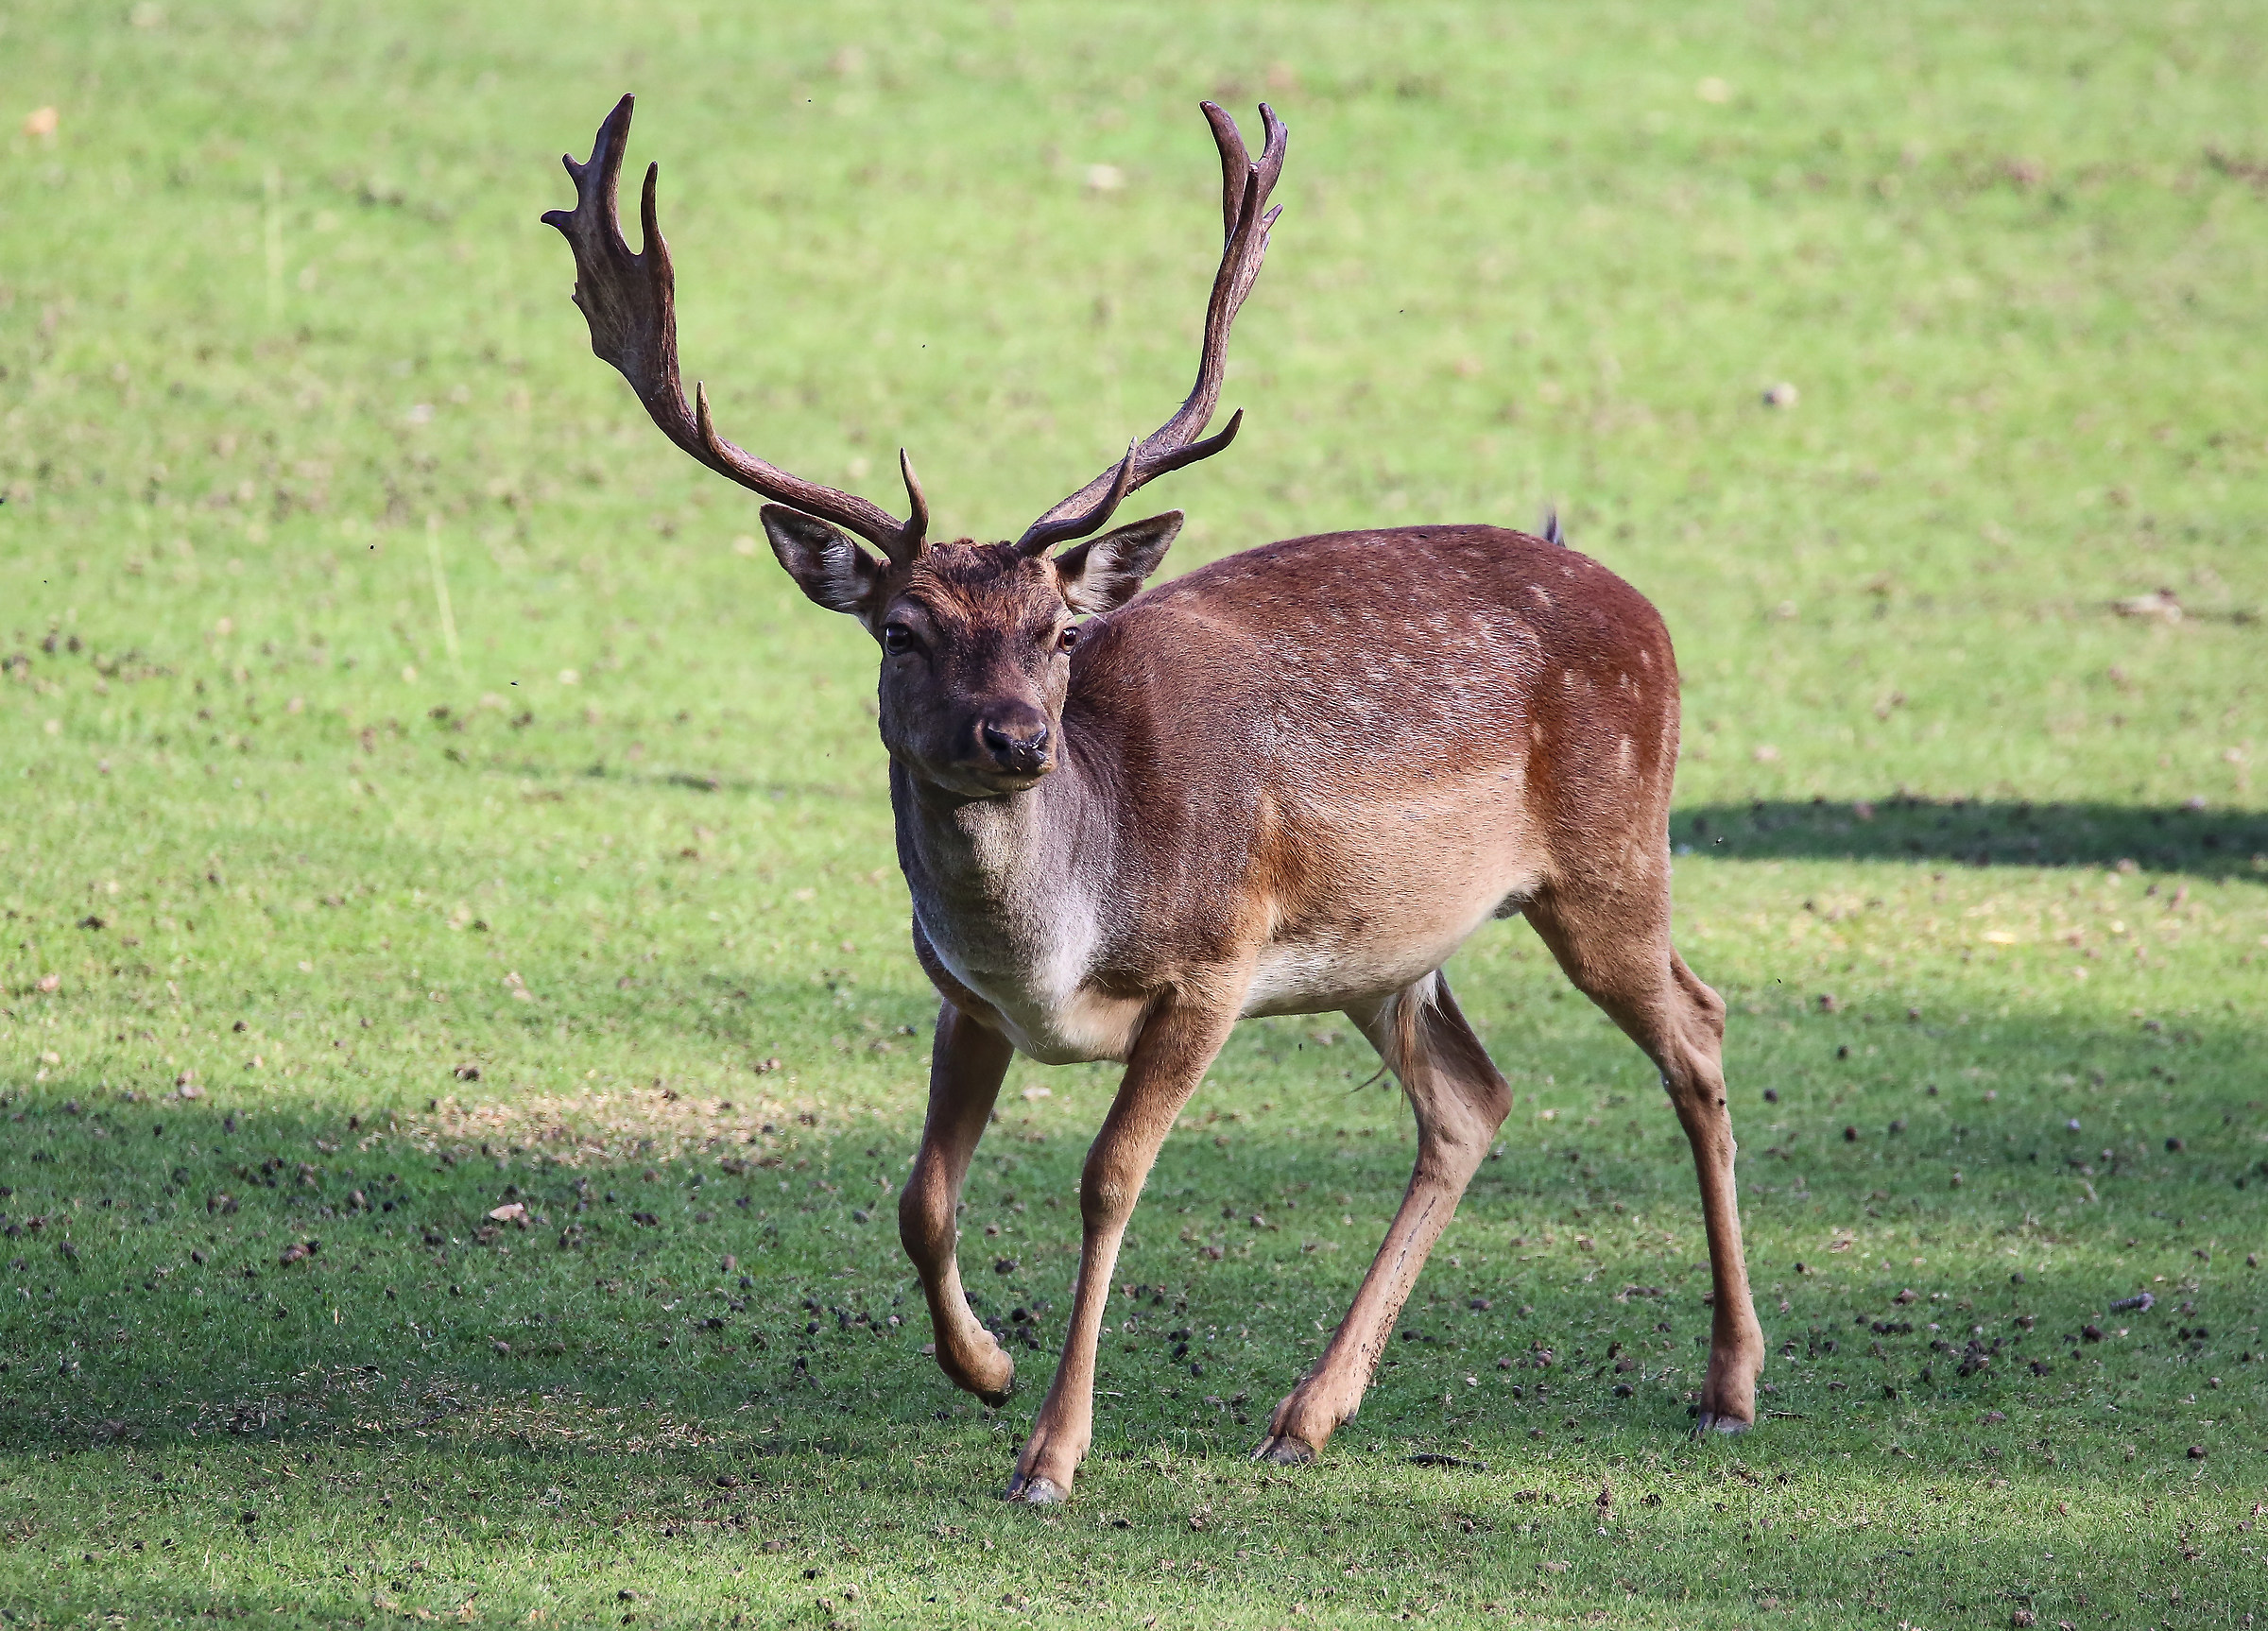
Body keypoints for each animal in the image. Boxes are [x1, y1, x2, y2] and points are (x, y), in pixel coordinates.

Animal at [545, 94, 1764, 1505]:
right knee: (1473, 1098)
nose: (1015, 737)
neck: (1063, 933)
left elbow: (1108, 1178)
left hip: (1611, 853)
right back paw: (1307, 1414)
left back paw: (1729, 1386)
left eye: (1055, 630)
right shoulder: (964, 994)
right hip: (1390, 954)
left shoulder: (1214, 968)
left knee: (1697, 1029)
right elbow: (921, 1195)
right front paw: (986, 1367)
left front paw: (1050, 1454)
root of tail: (1642, 606)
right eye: (902, 631)